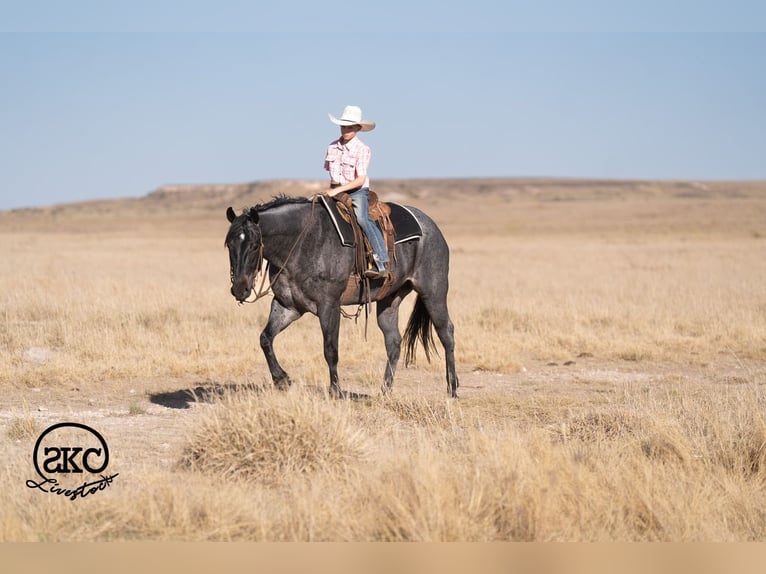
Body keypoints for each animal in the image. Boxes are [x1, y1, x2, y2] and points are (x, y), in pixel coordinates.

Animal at [224, 195, 458, 398]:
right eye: (229, 244)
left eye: (255, 245)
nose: (240, 289)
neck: (300, 243)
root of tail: (431, 226)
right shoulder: (288, 306)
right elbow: (265, 339)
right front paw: (282, 379)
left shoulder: (329, 306)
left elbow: (330, 350)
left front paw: (335, 391)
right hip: (389, 300)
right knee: (393, 342)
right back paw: (384, 391)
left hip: (433, 293)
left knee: (446, 333)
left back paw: (453, 389)